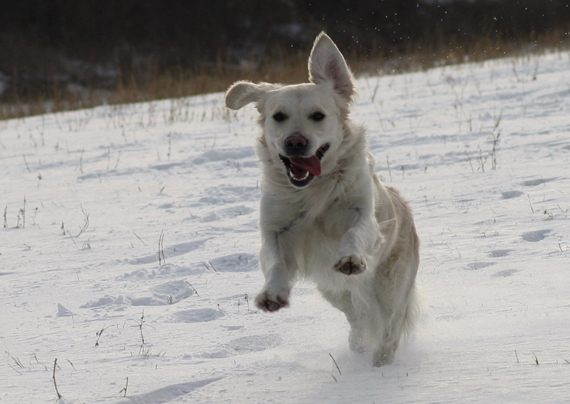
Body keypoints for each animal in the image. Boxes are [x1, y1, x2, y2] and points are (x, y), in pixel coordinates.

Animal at [223, 32, 418, 366]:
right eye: (278, 116)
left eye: (318, 116)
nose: (295, 142)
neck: (311, 190)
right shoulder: (275, 230)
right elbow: (274, 262)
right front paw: (272, 295)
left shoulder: (364, 217)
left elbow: (354, 233)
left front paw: (351, 258)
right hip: (334, 291)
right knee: (356, 316)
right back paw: (358, 345)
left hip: (391, 281)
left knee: (391, 322)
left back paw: (382, 360)